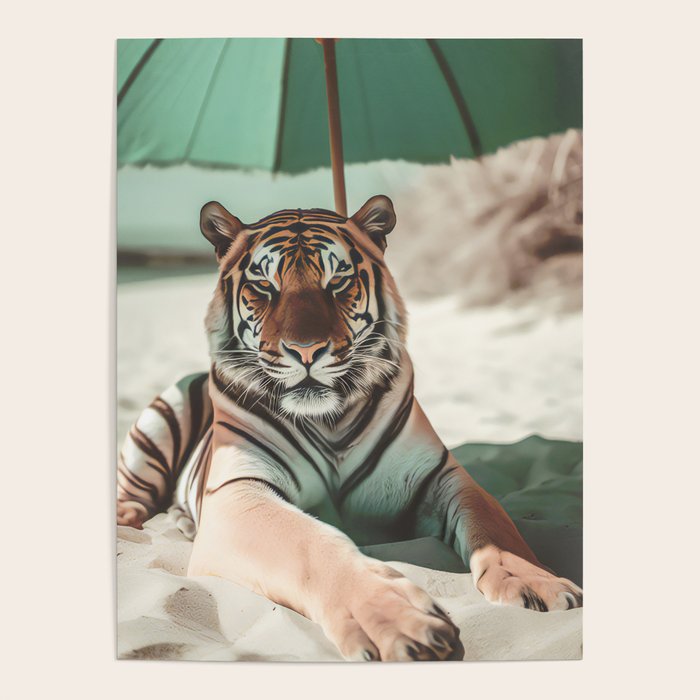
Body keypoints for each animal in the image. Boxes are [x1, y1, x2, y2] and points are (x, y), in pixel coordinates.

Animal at [117, 195, 583, 662]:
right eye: (264, 286)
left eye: (337, 282)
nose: (306, 350)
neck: (329, 419)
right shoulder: (239, 491)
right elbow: (307, 544)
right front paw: (400, 621)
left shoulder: (441, 475)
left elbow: (494, 523)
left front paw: (539, 583)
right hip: (160, 421)